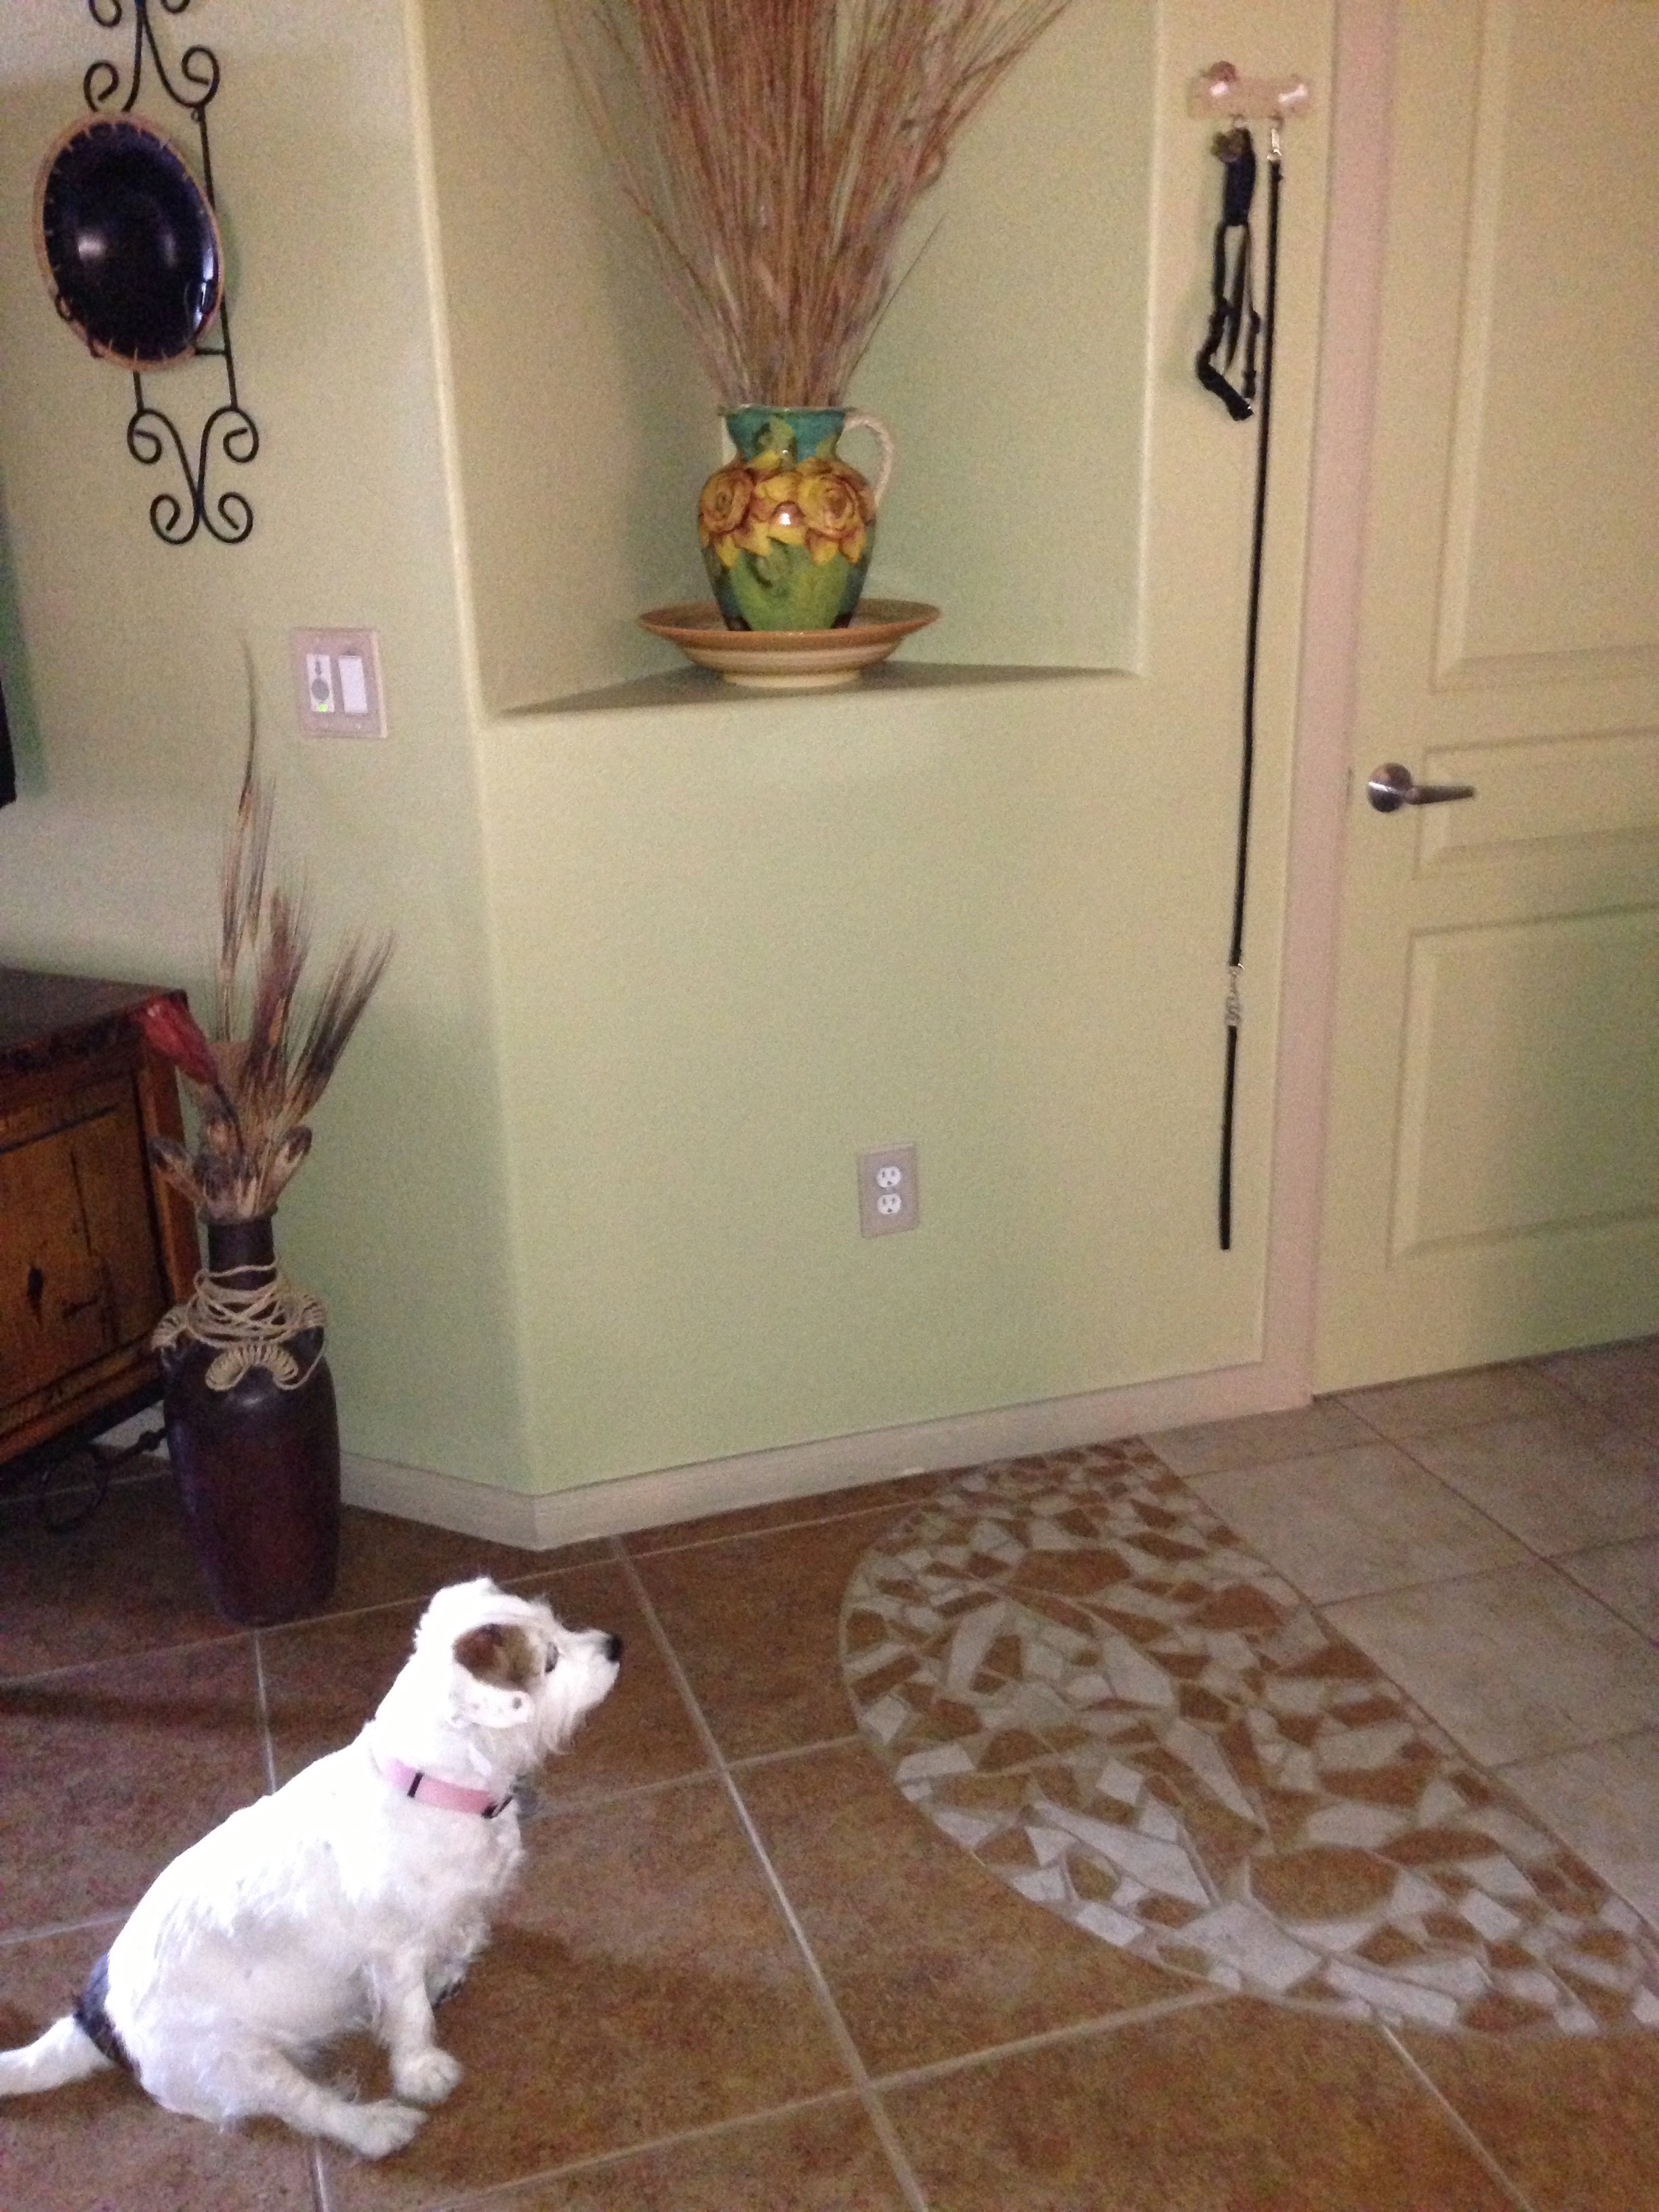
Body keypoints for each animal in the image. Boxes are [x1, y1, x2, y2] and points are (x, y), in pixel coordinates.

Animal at [0, 1577, 620, 2157]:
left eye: (554, 1621)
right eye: (549, 1661)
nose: (616, 1644)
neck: (431, 1784)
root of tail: (97, 2023)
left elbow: (459, 1937)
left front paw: (449, 1970)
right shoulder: (393, 1953)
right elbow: (411, 2014)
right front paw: (423, 2070)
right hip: (243, 2062)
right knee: (309, 2109)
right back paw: (376, 2127)